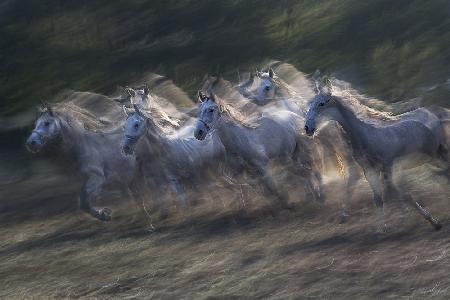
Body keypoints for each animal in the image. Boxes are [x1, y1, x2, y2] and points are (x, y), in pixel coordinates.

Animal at [121, 87, 225, 218]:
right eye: (125, 126)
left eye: (136, 124)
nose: (126, 148)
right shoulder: (160, 180)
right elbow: (165, 199)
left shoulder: (175, 178)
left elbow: (182, 198)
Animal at [304, 81, 448, 231]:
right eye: (310, 103)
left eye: (321, 104)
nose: (307, 128)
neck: (366, 136)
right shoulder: (370, 171)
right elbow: (378, 199)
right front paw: (382, 228)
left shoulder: (388, 167)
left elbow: (404, 195)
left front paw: (434, 222)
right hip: (431, 159)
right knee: (444, 174)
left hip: (438, 154)